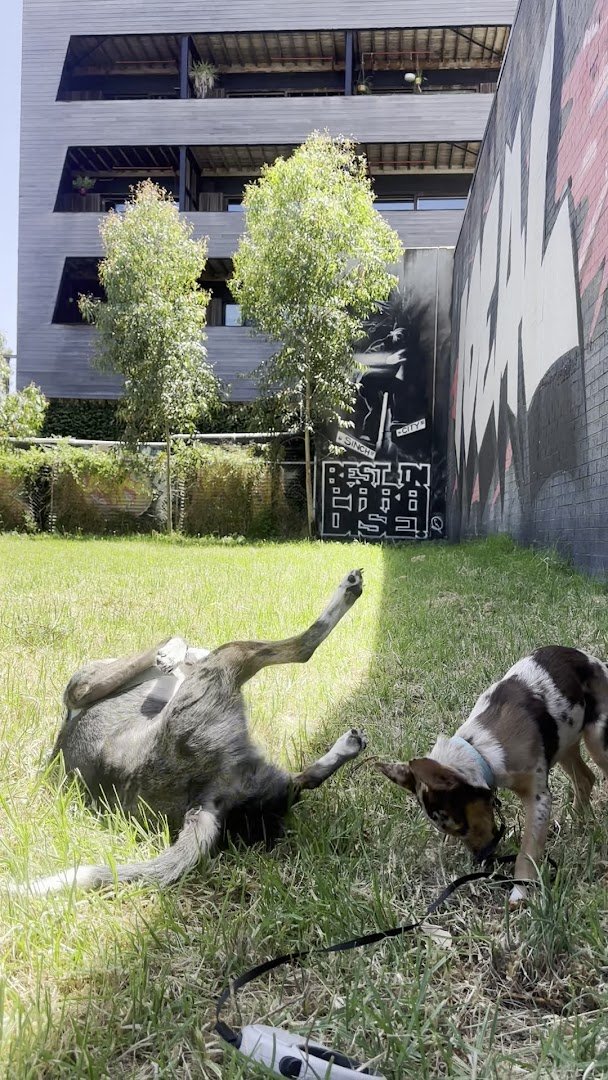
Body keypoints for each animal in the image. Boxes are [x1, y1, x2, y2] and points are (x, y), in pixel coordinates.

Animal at [8, 570, 366, 896]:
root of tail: (203, 797)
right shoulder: (85, 686)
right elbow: (170, 637)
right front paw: (172, 653)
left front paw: (173, 654)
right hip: (230, 658)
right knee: (303, 646)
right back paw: (348, 590)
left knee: (304, 780)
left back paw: (347, 746)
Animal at [376, 646, 608, 903]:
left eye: (461, 827)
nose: (481, 859)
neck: (481, 752)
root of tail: (593, 661)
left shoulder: (538, 798)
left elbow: (528, 849)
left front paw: (520, 890)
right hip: (564, 743)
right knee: (585, 779)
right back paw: (577, 820)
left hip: (597, 740)